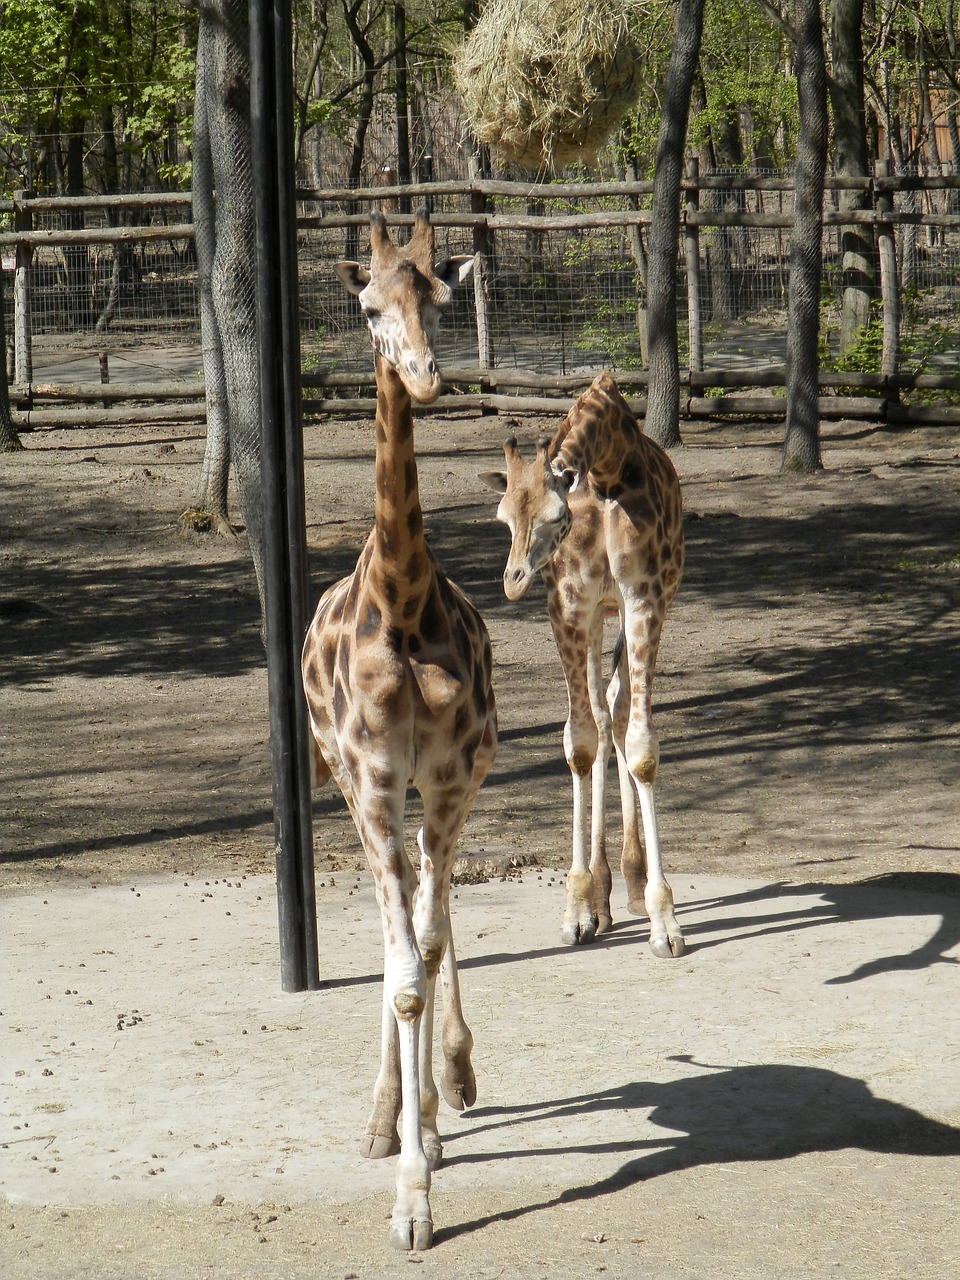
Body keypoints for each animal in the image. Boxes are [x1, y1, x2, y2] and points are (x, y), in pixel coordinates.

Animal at [483, 371, 686, 962]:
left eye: (555, 516)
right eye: (502, 516)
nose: (513, 581)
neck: (606, 473)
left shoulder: (644, 599)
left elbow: (641, 749)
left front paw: (664, 919)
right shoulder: (571, 604)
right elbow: (579, 742)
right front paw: (577, 909)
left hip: (630, 607)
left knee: (616, 713)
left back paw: (633, 884)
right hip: (598, 614)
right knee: (601, 715)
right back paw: (602, 894)